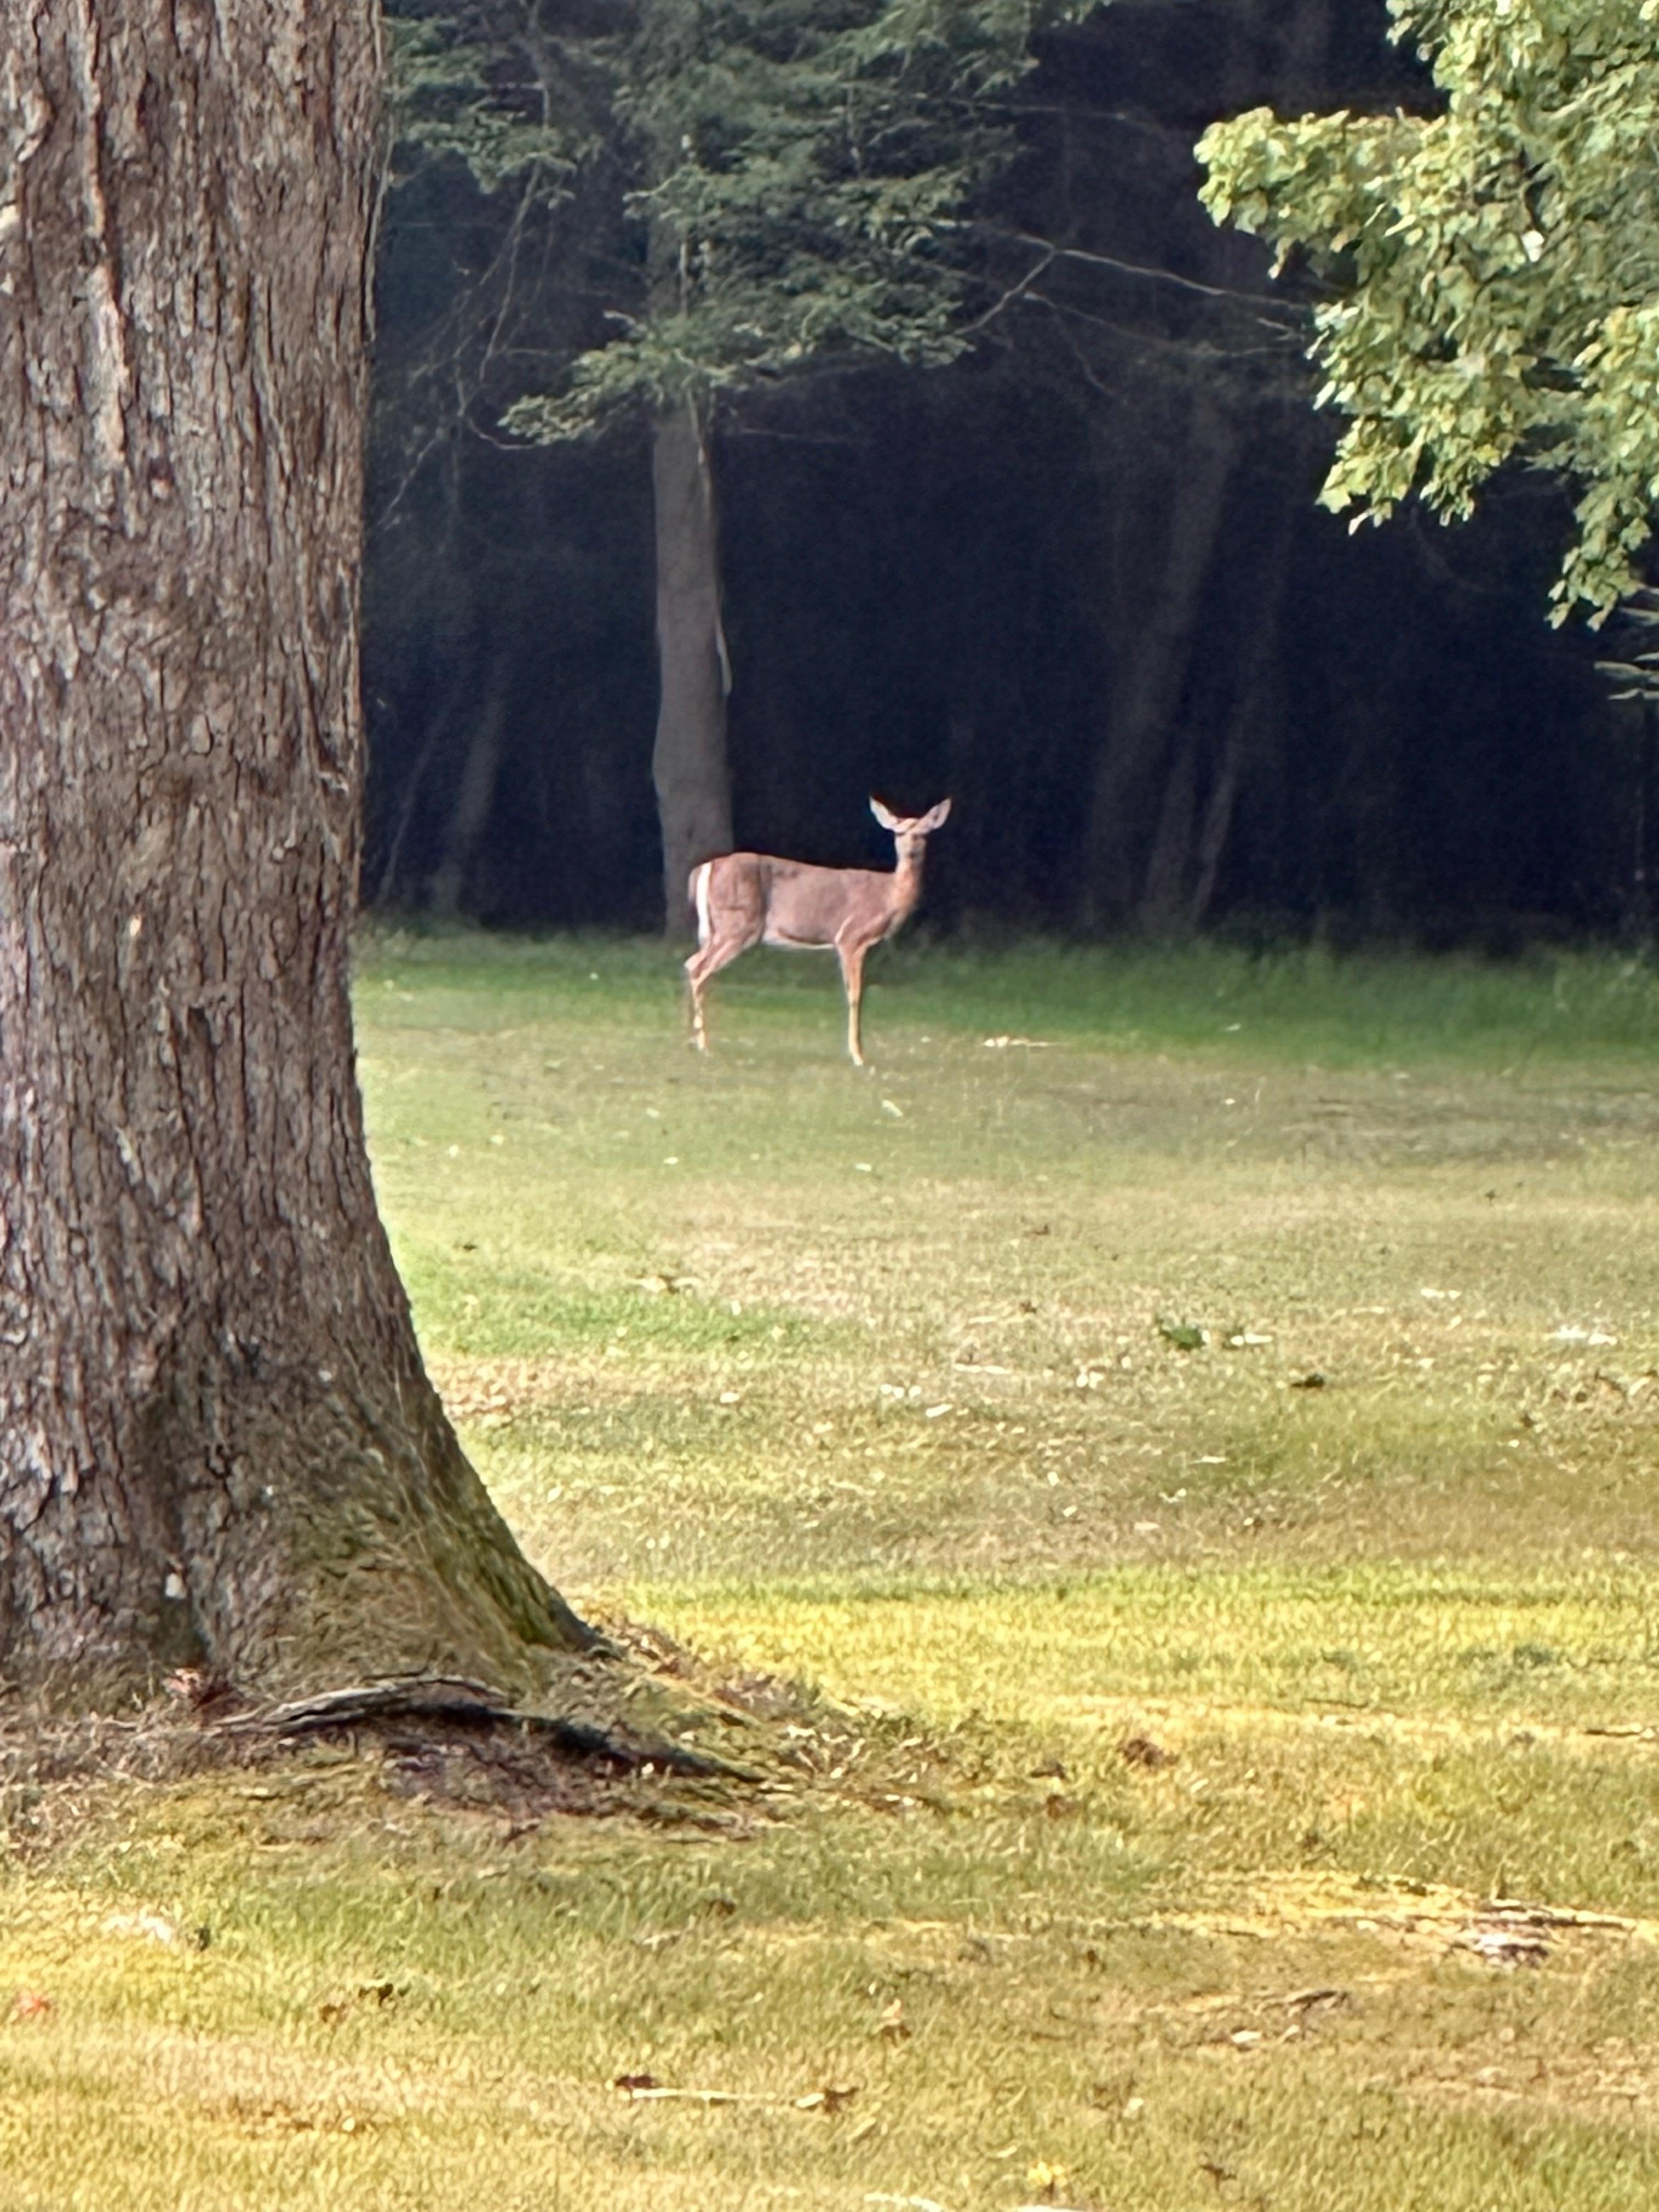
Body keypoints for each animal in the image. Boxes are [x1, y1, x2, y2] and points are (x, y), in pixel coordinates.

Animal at [685, 798, 951, 1066]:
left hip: (718, 930)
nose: (912, 850)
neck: (888, 896)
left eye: (924, 832)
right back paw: (703, 1045)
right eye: (899, 832)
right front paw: (858, 1055)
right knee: (699, 969)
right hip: (737, 925)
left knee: (692, 964)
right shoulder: (851, 936)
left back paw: (693, 1040)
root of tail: (706, 867)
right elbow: (855, 993)